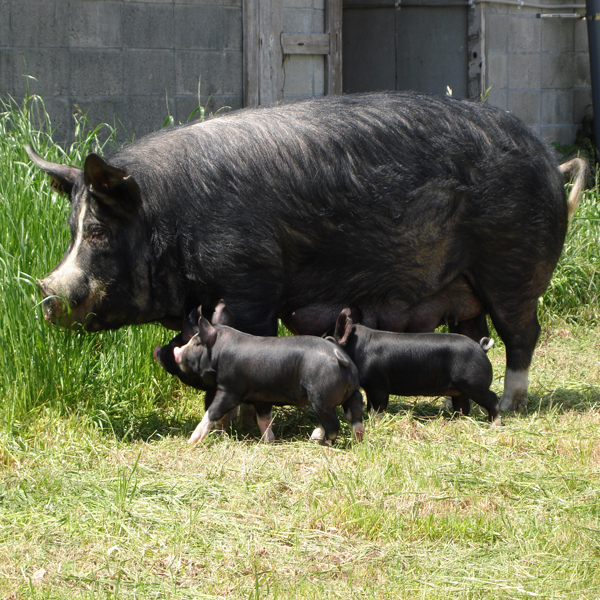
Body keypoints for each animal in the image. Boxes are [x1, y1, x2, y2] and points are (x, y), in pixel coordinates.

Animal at [27, 91, 584, 412]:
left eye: (98, 232)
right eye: (72, 229)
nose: (47, 294)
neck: (169, 216)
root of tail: (550, 163)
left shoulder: (251, 280)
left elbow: (249, 337)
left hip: (513, 265)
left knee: (522, 333)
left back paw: (510, 405)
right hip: (463, 285)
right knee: (473, 331)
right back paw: (453, 409)